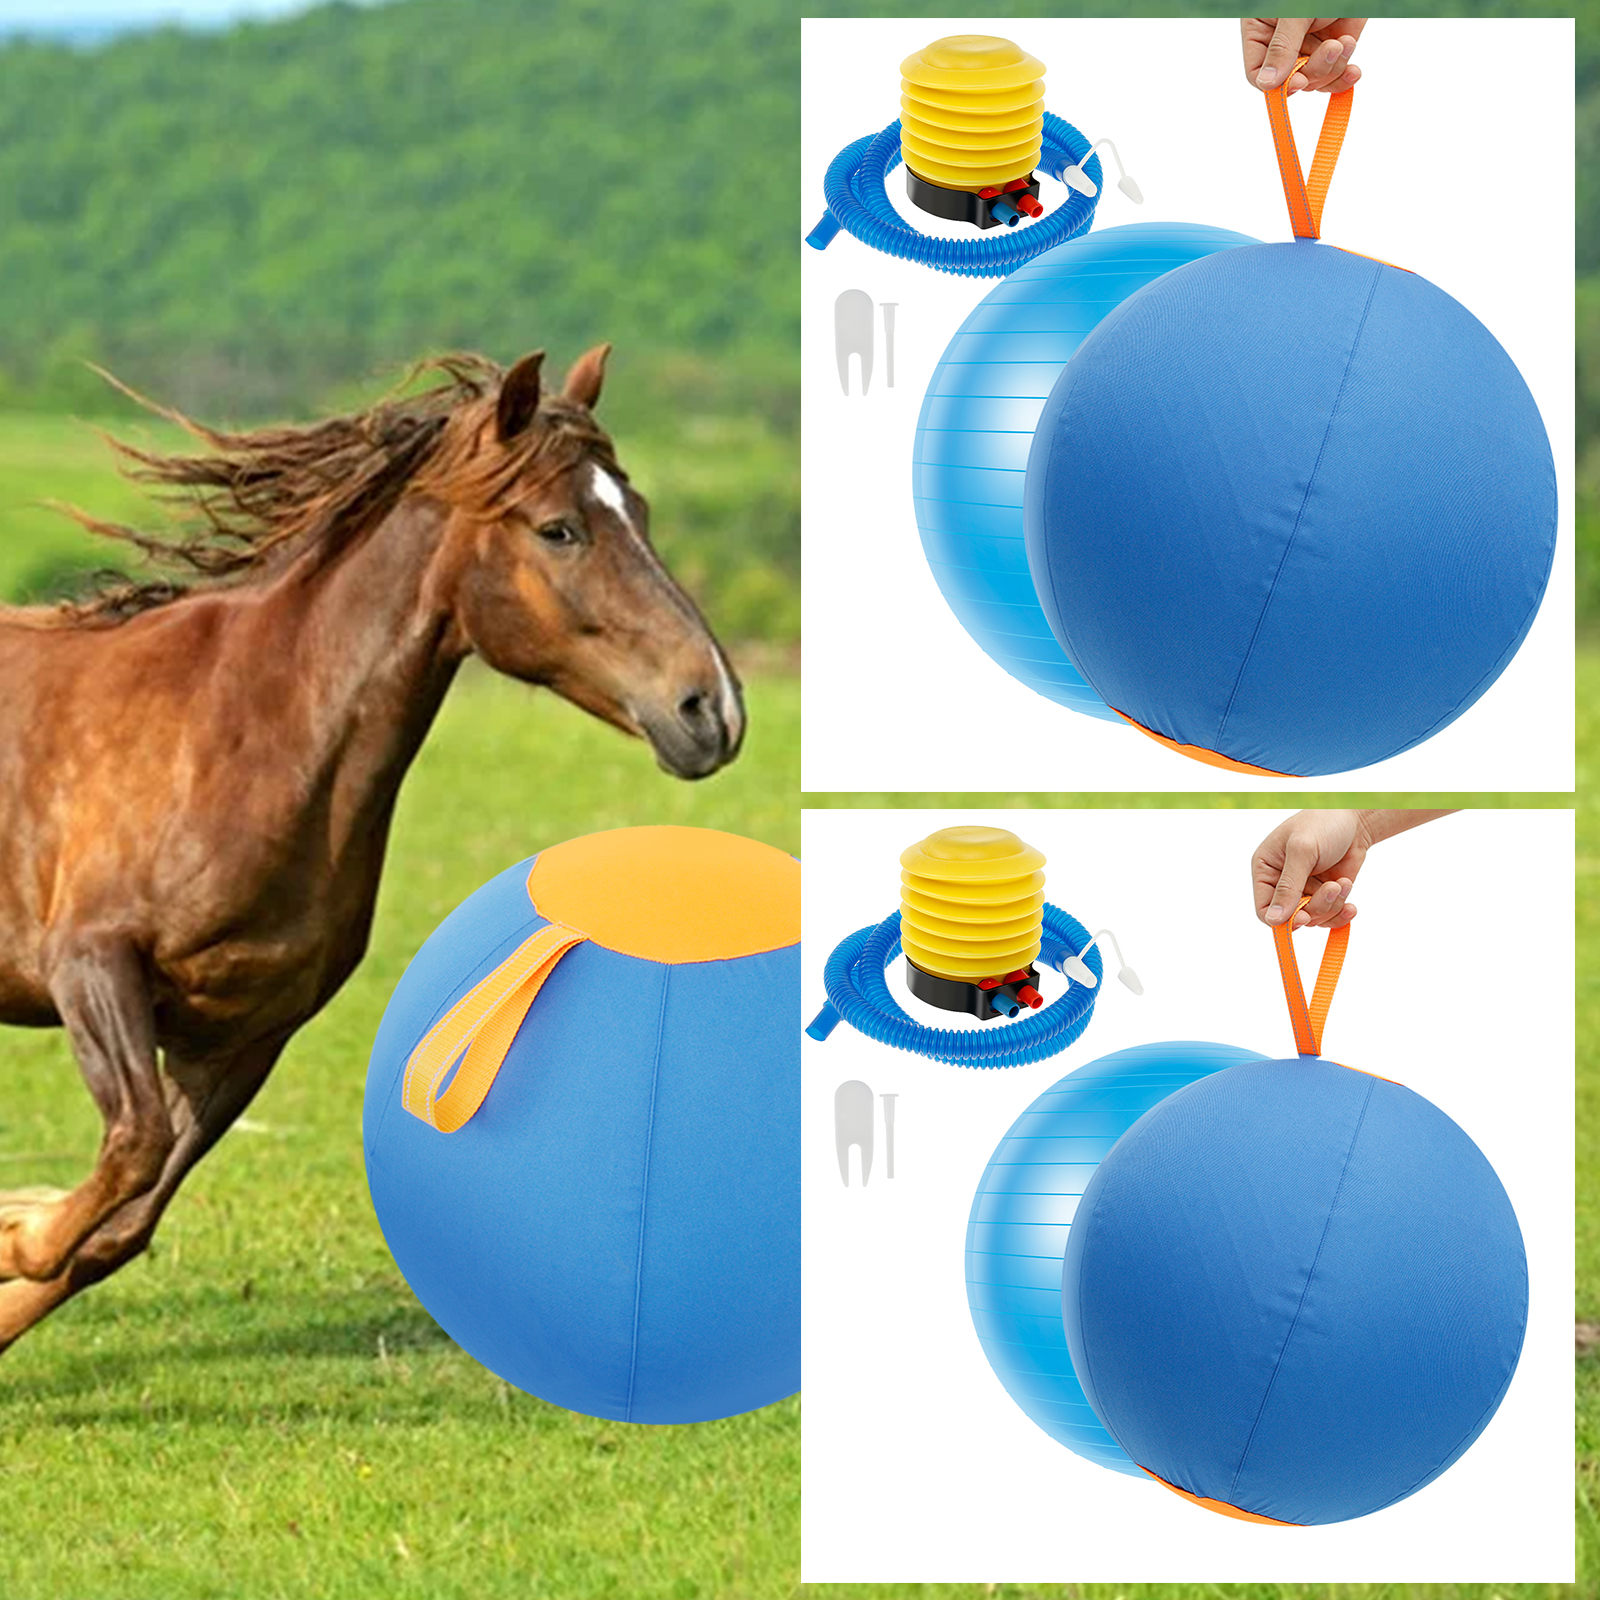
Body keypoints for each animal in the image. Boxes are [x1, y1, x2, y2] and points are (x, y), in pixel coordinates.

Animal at [0, 345, 744, 1354]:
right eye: (559, 530)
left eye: (641, 513)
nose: (713, 711)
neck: (244, 727)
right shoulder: (91, 962)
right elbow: (129, 1154)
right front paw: (15, 1225)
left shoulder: (244, 1035)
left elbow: (124, 1222)